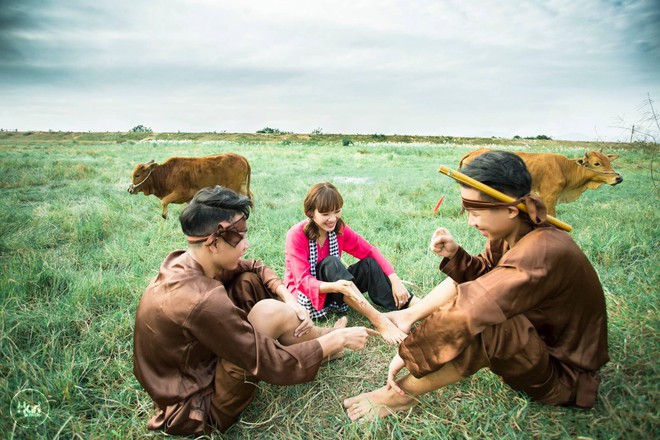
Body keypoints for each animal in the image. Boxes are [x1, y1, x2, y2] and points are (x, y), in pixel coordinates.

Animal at [458, 149, 624, 216]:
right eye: (597, 163)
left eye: (609, 161)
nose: (618, 178)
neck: (565, 169)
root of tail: (475, 151)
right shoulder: (550, 197)